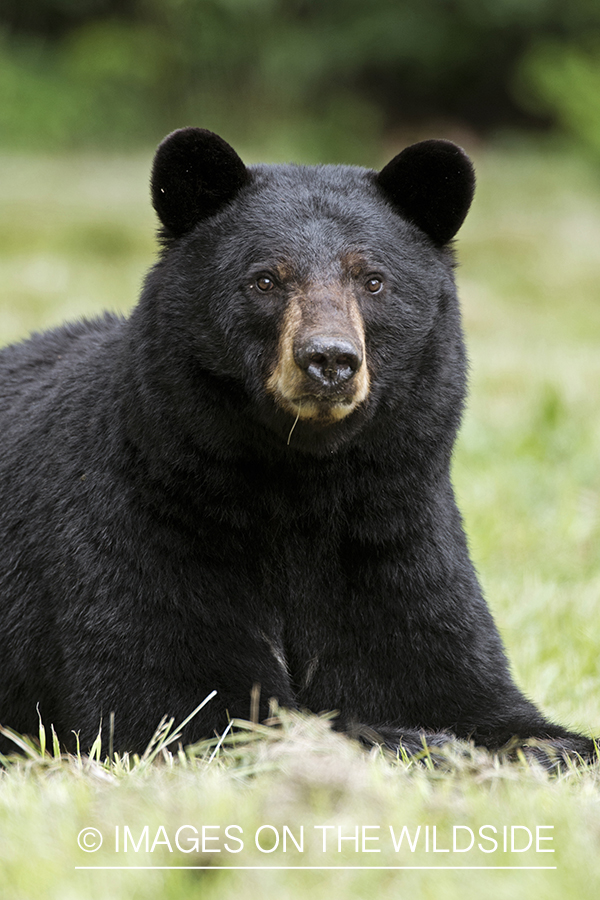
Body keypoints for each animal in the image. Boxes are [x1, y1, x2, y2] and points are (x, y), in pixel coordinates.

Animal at [0, 125, 596, 760]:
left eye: (373, 279)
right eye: (265, 279)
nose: (329, 358)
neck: (301, 485)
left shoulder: (394, 543)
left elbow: (466, 686)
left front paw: (533, 745)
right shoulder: (147, 531)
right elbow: (180, 704)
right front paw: (431, 744)